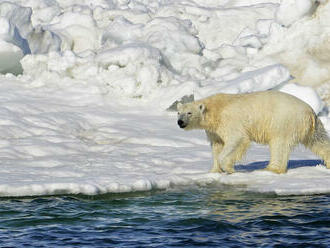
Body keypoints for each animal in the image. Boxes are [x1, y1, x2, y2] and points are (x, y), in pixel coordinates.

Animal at [178, 90, 330, 173]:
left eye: (189, 113)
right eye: (179, 112)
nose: (180, 122)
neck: (215, 109)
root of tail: (309, 112)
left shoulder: (229, 121)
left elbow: (237, 140)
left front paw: (228, 168)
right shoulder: (214, 130)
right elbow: (217, 145)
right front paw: (214, 170)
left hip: (284, 122)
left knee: (279, 145)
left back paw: (271, 169)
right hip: (312, 126)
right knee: (319, 141)